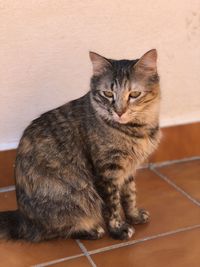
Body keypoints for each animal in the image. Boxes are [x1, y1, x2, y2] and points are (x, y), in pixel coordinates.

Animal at [0, 48, 160, 243]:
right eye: (108, 94)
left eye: (134, 94)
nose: (119, 112)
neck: (137, 130)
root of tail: (22, 217)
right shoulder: (107, 172)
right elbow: (112, 206)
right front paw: (118, 229)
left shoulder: (128, 171)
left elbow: (129, 196)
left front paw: (134, 216)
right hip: (75, 197)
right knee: (53, 231)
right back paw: (92, 230)